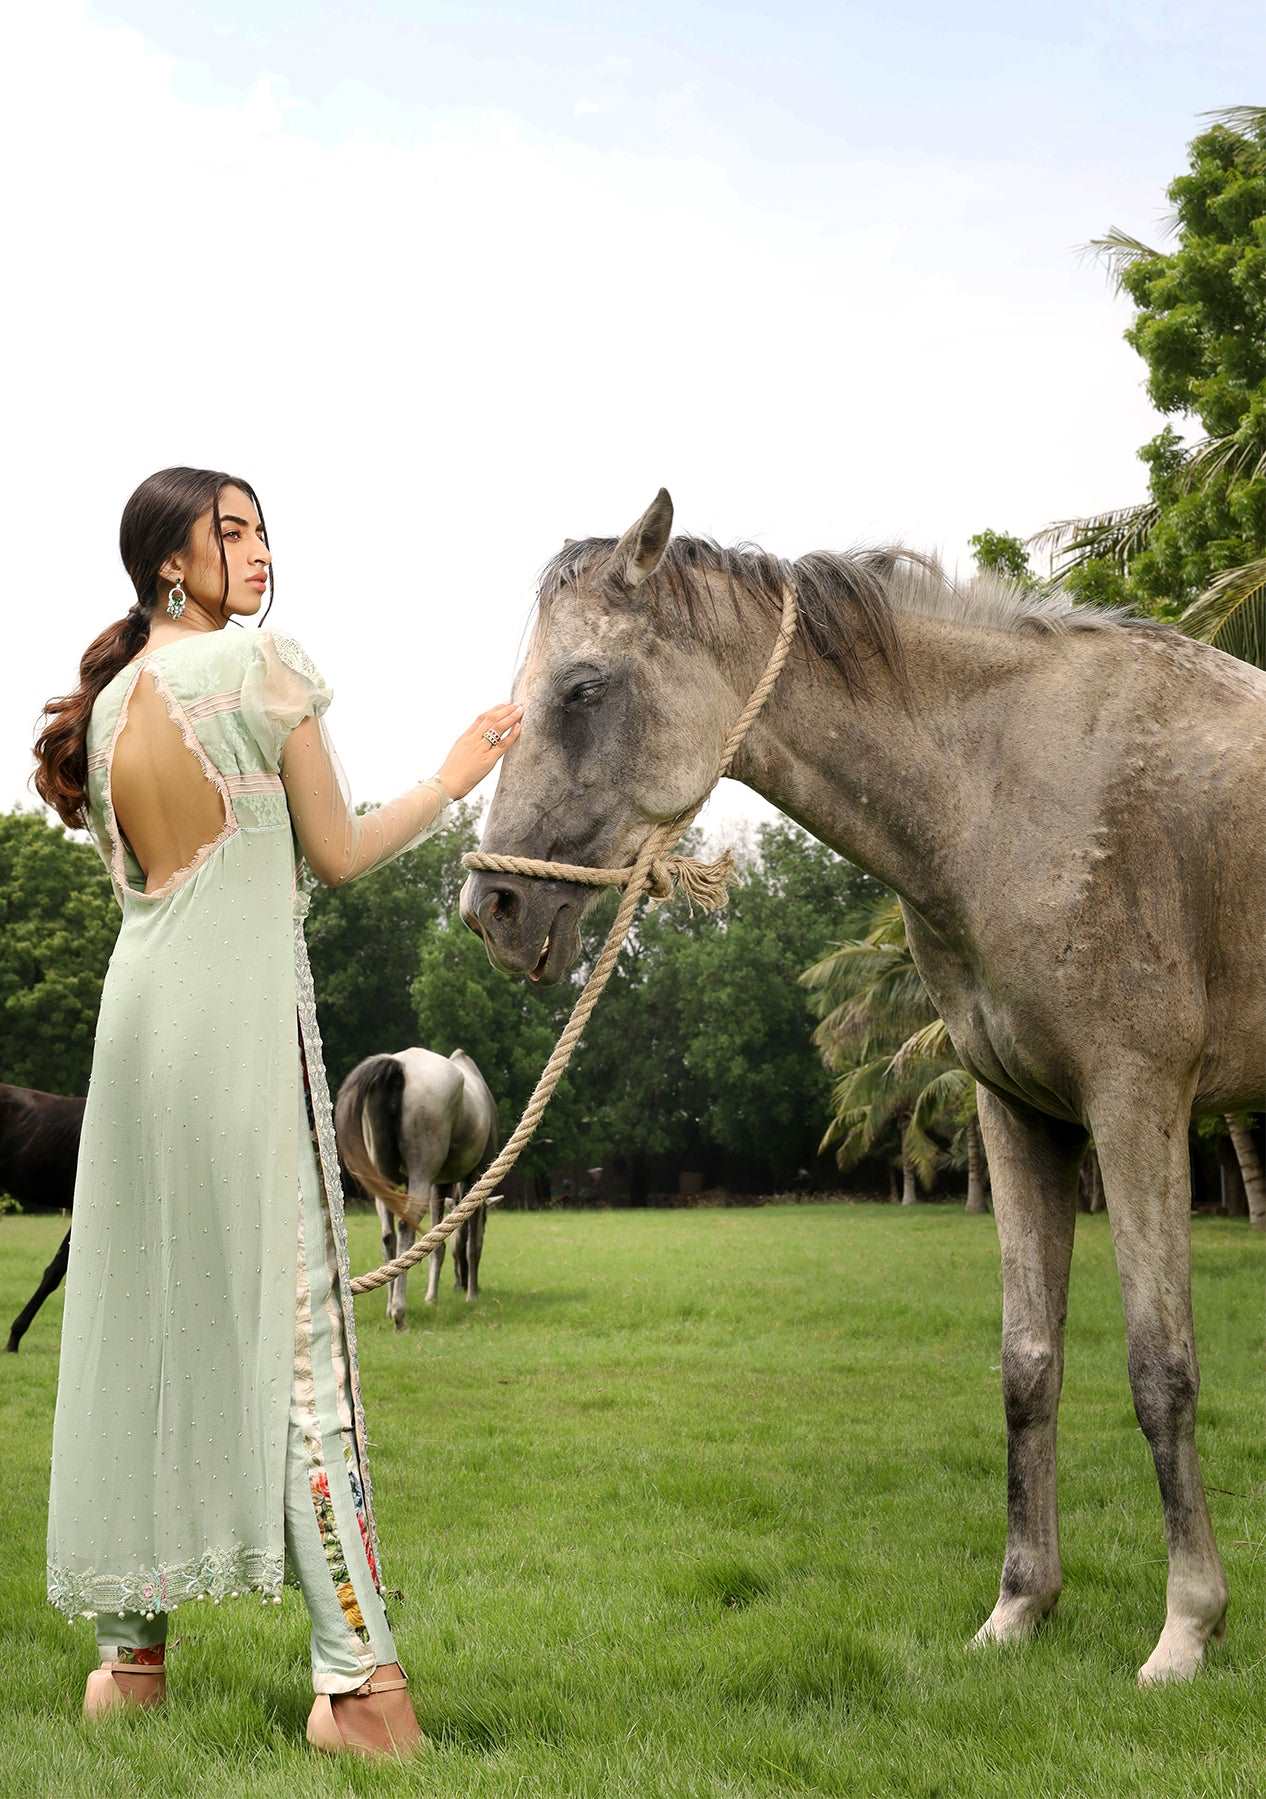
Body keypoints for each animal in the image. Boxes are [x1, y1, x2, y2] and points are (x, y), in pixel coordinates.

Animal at [336, 1050, 499, 1324]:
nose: (463, 1284)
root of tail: (398, 1067)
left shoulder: (439, 1186)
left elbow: (439, 1244)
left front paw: (432, 1297)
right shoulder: (473, 1177)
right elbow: (471, 1245)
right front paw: (472, 1295)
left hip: (385, 1181)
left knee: (388, 1235)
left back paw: (389, 1304)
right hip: (420, 1175)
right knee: (406, 1226)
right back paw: (399, 1310)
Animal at [463, 485, 1266, 1676]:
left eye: (584, 687)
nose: (495, 910)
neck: (1012, 786)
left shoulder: (1137, 1107)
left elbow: (1160, 1367)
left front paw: (1185, 1629)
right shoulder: (1018, 1114)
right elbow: (1028, 1363)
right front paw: (1019, 1607)